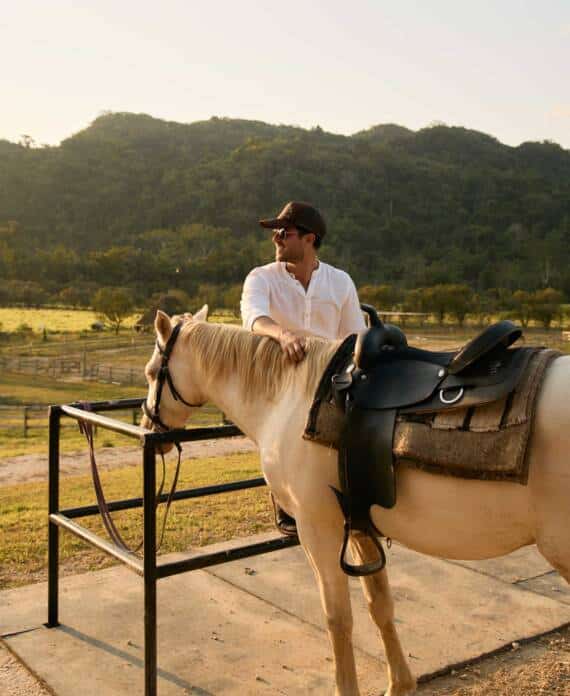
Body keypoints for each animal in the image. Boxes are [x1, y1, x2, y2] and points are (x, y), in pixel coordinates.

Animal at [141, 307, 570, 696]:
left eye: (152, 372)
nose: (149, 427)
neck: (290, 398)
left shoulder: (318, 529)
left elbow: (338, 617)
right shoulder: (361, 526)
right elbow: (379, 605)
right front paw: (400, 684)